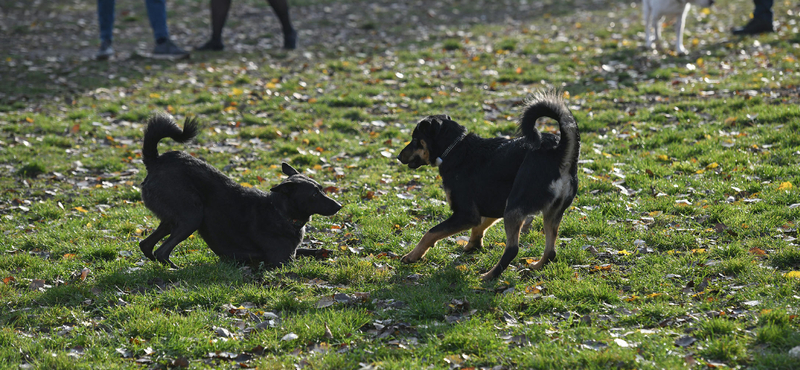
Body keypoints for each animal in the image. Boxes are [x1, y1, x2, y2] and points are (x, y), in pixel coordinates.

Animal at [139, 114, 342, 268]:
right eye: (314, 194)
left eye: (322, 189)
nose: (340, 205)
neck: (280, 212)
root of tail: (155, 162)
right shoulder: (280, 260)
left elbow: (307, 250)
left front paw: (325, 251)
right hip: (192, 216)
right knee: (161, 251)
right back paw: (175, 268)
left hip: (171, 219)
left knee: (146, 245)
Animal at [396, 92, 580, 280]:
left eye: (415, 139)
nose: (398, 156)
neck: (455, 147)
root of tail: (560, 153)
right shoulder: (493, 207)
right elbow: (480, 226)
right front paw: (473, 245)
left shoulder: (466, 214)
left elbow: (431, 232)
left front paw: (412, 256)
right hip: (551, 212)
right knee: (551, 251)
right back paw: (534, 267)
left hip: (514, 207)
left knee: (512, 249)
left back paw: (488, 276)